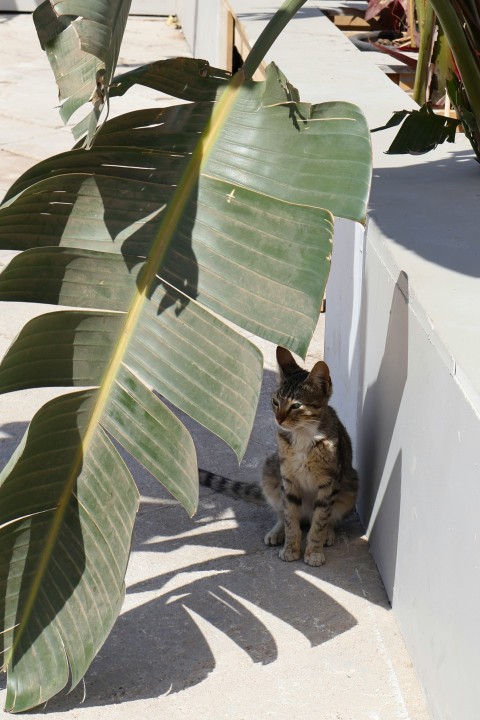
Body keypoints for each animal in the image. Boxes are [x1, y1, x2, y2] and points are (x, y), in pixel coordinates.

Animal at [197, 346, 358, 564]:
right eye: (275, 401)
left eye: (296, 405)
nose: (278, 419)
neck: (302, 435)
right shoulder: (288, 480)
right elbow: (290, 519)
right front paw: (290, 548)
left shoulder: (328, 483)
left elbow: (320, 521)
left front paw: (314, 551)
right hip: (270, 471)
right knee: (283, 514)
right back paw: (277, 532)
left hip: (351, 485)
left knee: (327, 518)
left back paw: (328, 534)